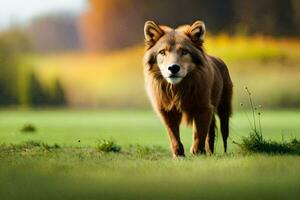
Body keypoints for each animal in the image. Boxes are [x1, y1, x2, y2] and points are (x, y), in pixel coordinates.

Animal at [144, 20, 233, 158]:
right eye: (162, 52)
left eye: (184, 52)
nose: (173, 68)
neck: (178, 88)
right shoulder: (167, 111)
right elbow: (174, 135)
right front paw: (179, 154)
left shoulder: (202, 108)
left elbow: (199, 134)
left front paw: (197, 153)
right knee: (211, 133)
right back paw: (210, 153)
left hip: (224, 110)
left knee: (224, 136)